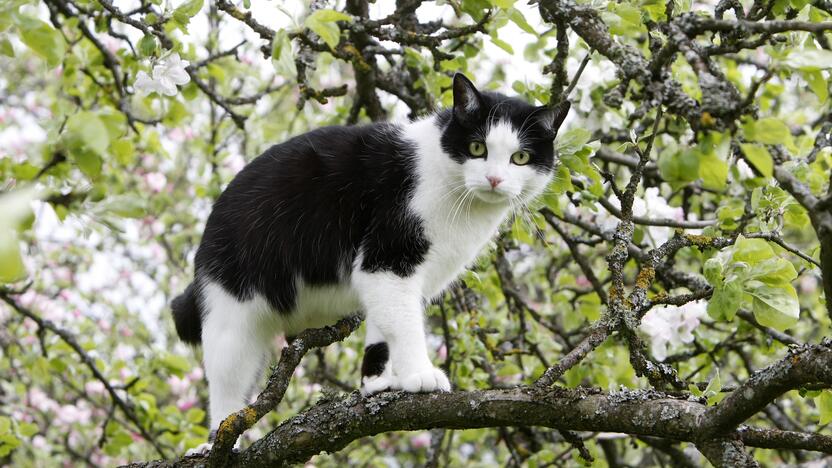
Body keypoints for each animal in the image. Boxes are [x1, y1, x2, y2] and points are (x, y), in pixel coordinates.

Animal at [171, 73, 568, 450]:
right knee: (227, 389)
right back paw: (217, 443)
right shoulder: (388, 258)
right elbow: (405, 326)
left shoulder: (399, 279)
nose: (494, 179)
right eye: (476, 147)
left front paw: (378, 384)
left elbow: (384, 328)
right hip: (232, 316)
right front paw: (420, 375)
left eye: (520, 158)